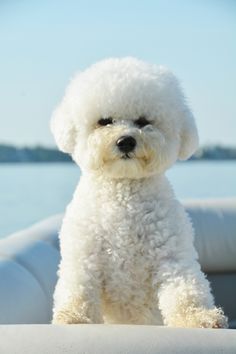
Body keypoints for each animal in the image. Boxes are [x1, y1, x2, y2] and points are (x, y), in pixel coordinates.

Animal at [50, 56, 228, 328]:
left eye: (144, 121)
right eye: (105, 121)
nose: (125, 141)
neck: (124, 191)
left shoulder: (172, 256)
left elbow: (186, 290)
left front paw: (200, 317)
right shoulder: (84, 256)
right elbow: (78, 289)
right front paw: (73, 317)